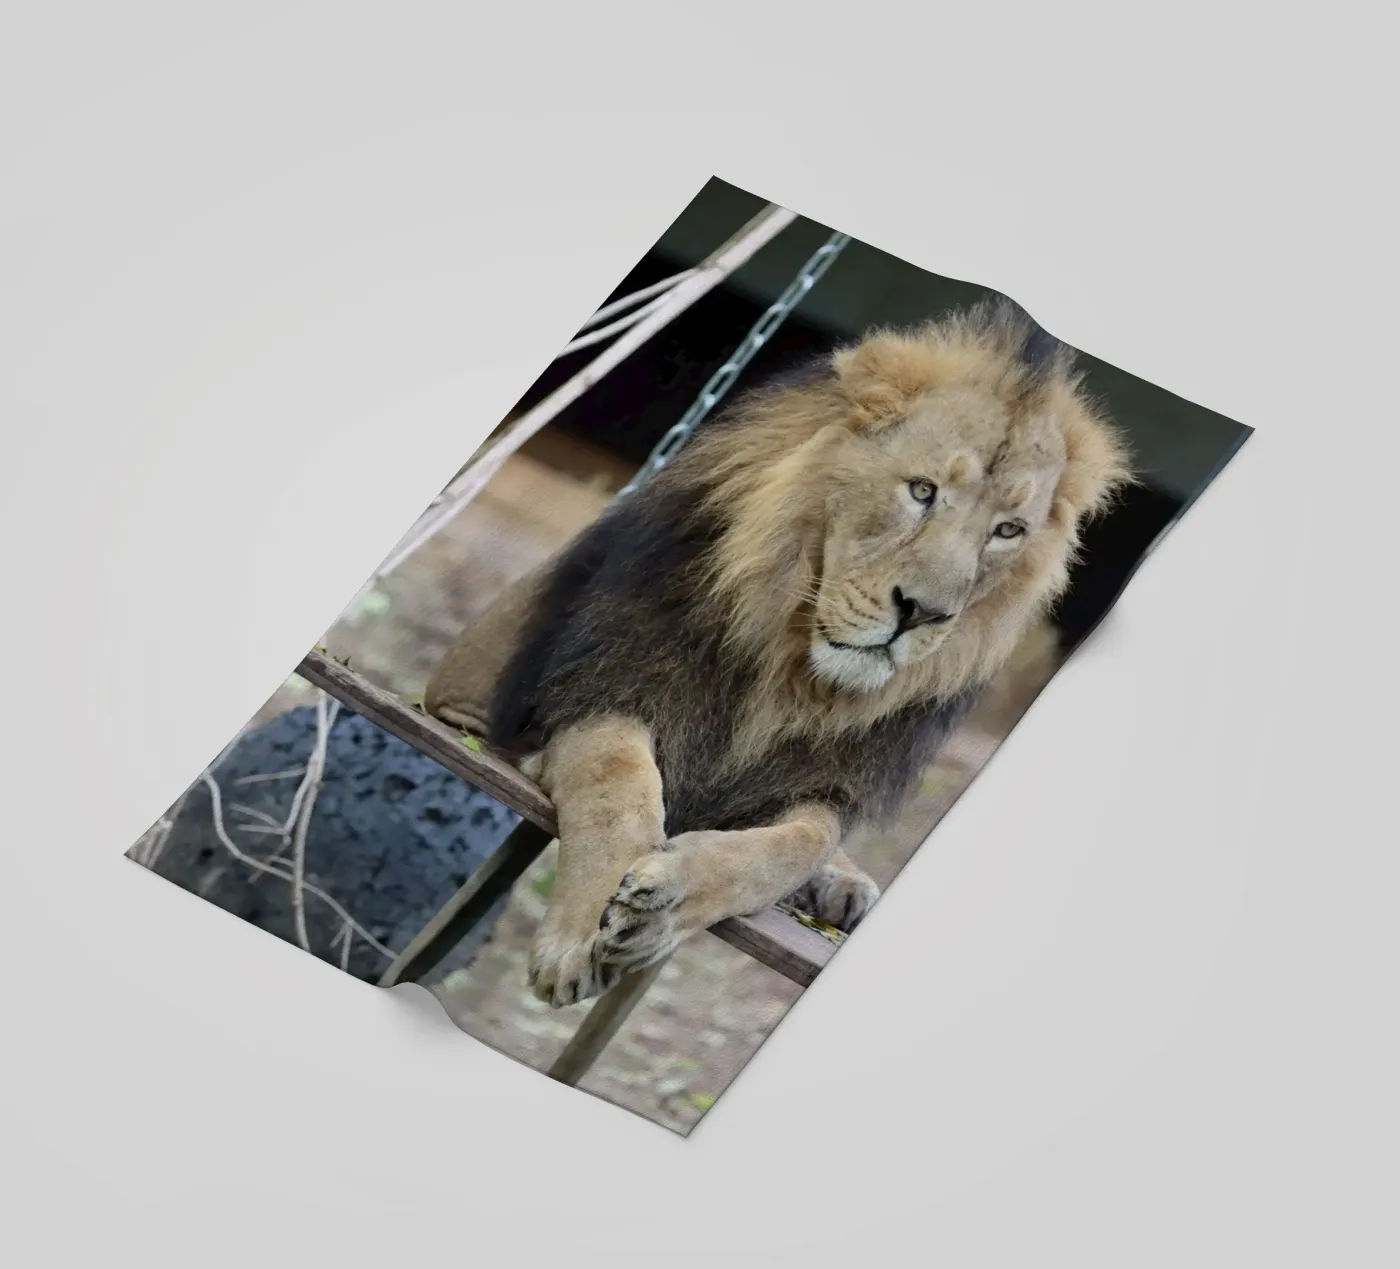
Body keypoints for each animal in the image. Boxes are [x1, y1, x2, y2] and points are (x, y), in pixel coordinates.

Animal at [424, 299, 1132, 1007]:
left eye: (1007, 531)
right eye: (922, 491)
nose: (925, 612)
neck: (792, 667)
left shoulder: (820, 779)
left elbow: (800, 842)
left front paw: (667, 902)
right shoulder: (602, 687)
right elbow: (615, 786)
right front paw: (579, 938)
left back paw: (844, 885)